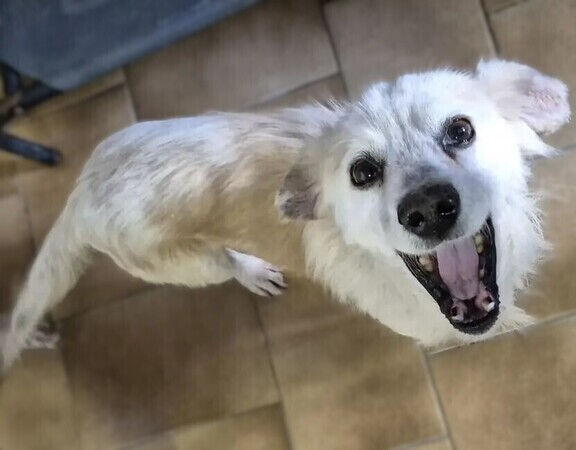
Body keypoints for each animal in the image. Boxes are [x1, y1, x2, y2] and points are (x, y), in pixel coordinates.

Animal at [0, 59, 570, 372]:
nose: (427, 209)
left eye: (460, 130)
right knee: (225, 263)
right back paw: (253, 271)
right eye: (362, 171)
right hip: (191, 267)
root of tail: (81, 190)